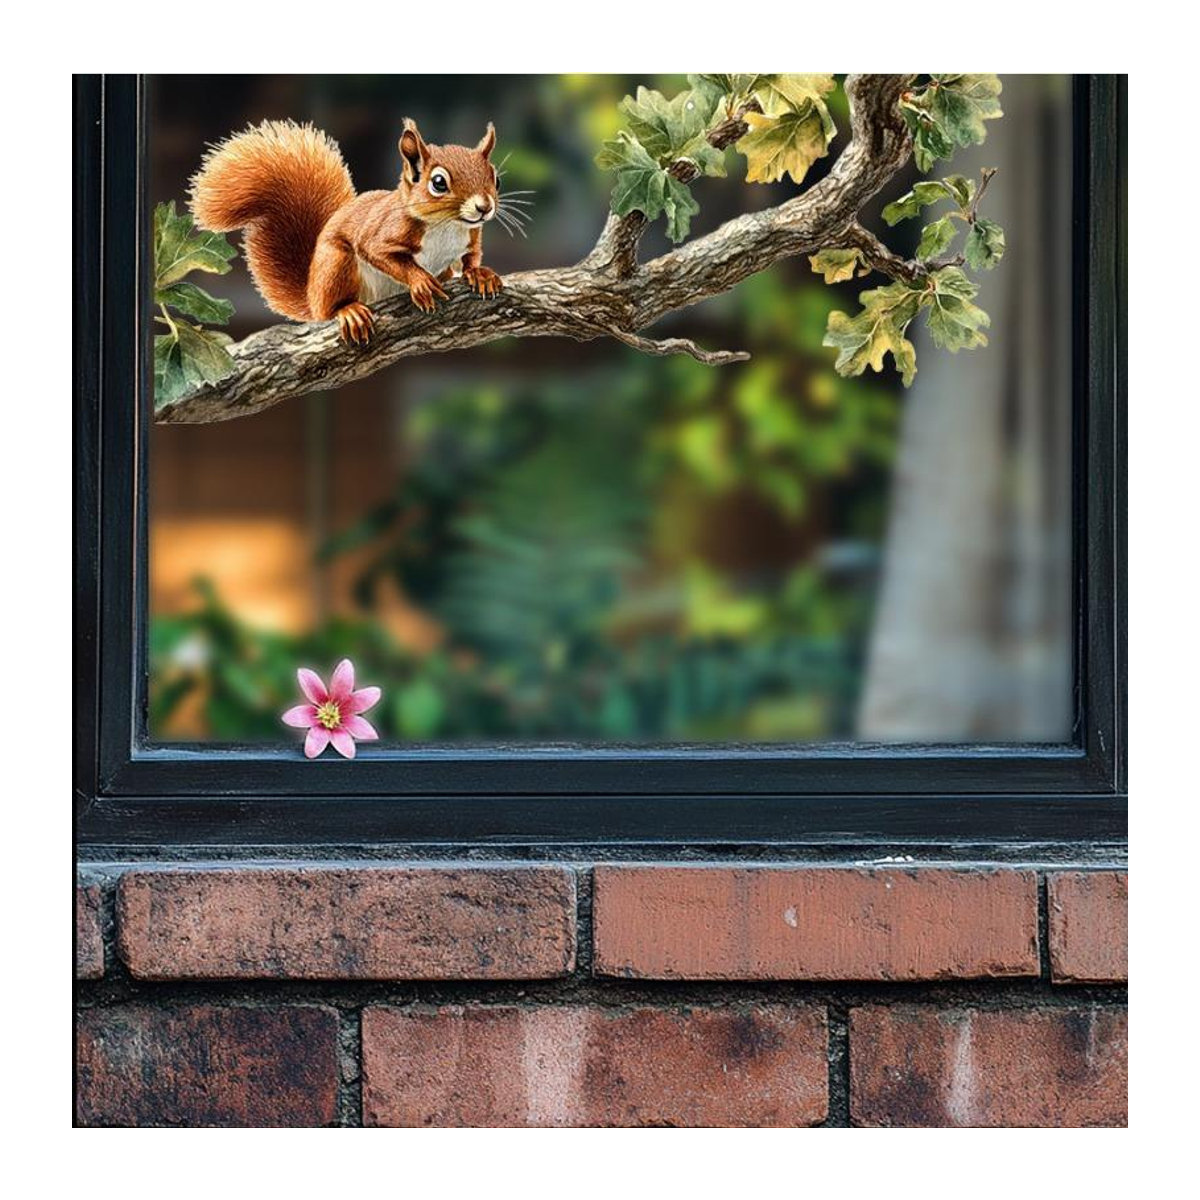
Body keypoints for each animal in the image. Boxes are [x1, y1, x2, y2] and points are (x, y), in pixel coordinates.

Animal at [189, 118, 503, 345]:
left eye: (495, 179)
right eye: (438, 183)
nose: (484, 207)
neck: (448, 225)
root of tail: (312, 295)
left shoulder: (471, 238)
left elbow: (471, 257)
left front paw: (480, 274)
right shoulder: (381, 231)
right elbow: (380, 254)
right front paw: (420, 281)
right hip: (336, 264)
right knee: (330, 309)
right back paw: (348, 312)